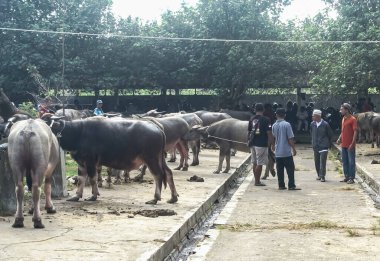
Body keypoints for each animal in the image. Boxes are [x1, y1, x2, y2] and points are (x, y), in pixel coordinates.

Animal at [49, 116, 179, 203]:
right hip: (160, 158)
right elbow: (81, 180)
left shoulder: (90, 162)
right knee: (168, 173)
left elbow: (92, 179)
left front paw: (93, 196)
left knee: (158, 175)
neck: (78, 133)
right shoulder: (81, 163)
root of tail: (157, 128)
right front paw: (76, 196)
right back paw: (173, 197)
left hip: (151, 159)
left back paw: (155, 198)